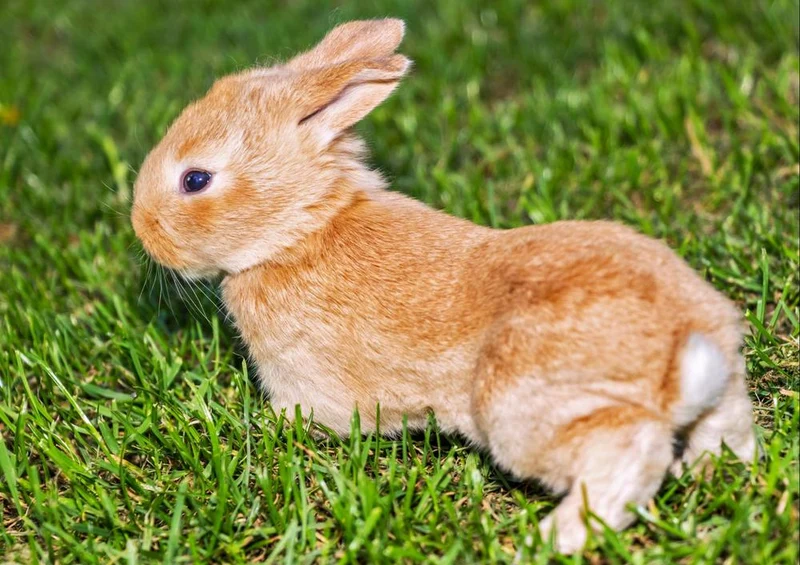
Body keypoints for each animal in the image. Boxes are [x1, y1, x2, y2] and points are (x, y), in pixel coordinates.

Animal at [131, 19, 758, 553]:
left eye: (195, 180)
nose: (141, 226)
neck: (301, 230)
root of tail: (684, 349)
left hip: (519, 410)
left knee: (626, 457)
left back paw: (550, 538)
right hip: (716, 391)